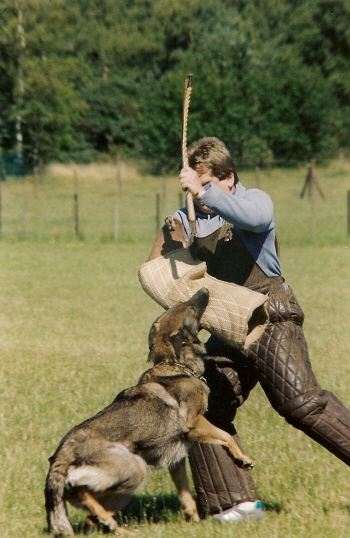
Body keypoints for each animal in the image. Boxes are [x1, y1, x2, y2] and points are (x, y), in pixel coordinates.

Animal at [44, 286, 254, 532]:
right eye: (189, 307)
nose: (203, 289)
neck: (175, 365)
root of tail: (64, 449)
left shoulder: (177, 461)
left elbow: (185, 495)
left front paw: (192, 519)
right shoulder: (196, 423)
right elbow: (225, 436)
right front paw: (242, 459)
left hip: (121, 489)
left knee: (85, 507)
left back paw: (115, 527)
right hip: (133, 470)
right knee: (81, 490)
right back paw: (112, 523)